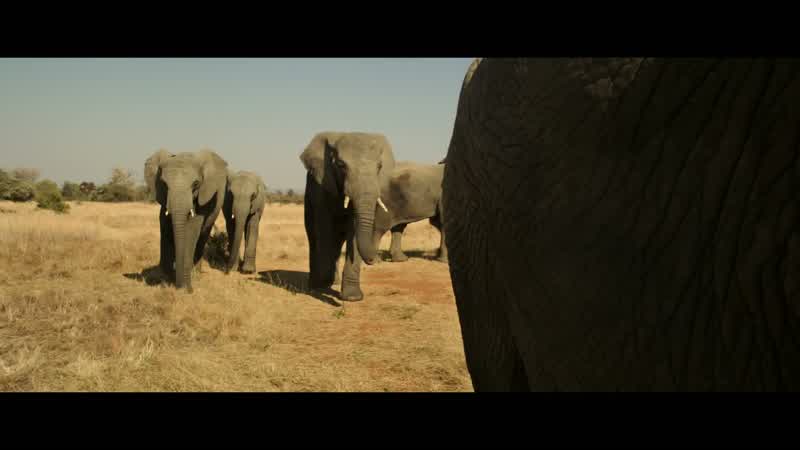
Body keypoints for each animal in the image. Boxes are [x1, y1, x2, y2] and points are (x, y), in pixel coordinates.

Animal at [144, 149, 229, 293]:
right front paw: (165, 281)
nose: (187, 289)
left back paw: (196, 274)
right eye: (164, 184)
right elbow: (166, 228)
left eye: (196, 184)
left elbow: (192, 230)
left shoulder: (203, 197)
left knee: (202, 237)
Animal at [300, 131, 395, 301]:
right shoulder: (322, 184)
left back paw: (334, 282)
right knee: (314, 238)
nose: (374, 260)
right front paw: (323, 286)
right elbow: (325, 227)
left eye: (379, 167)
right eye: (341, 165)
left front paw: (352, 298)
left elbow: (354, 230)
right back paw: (316, 284)